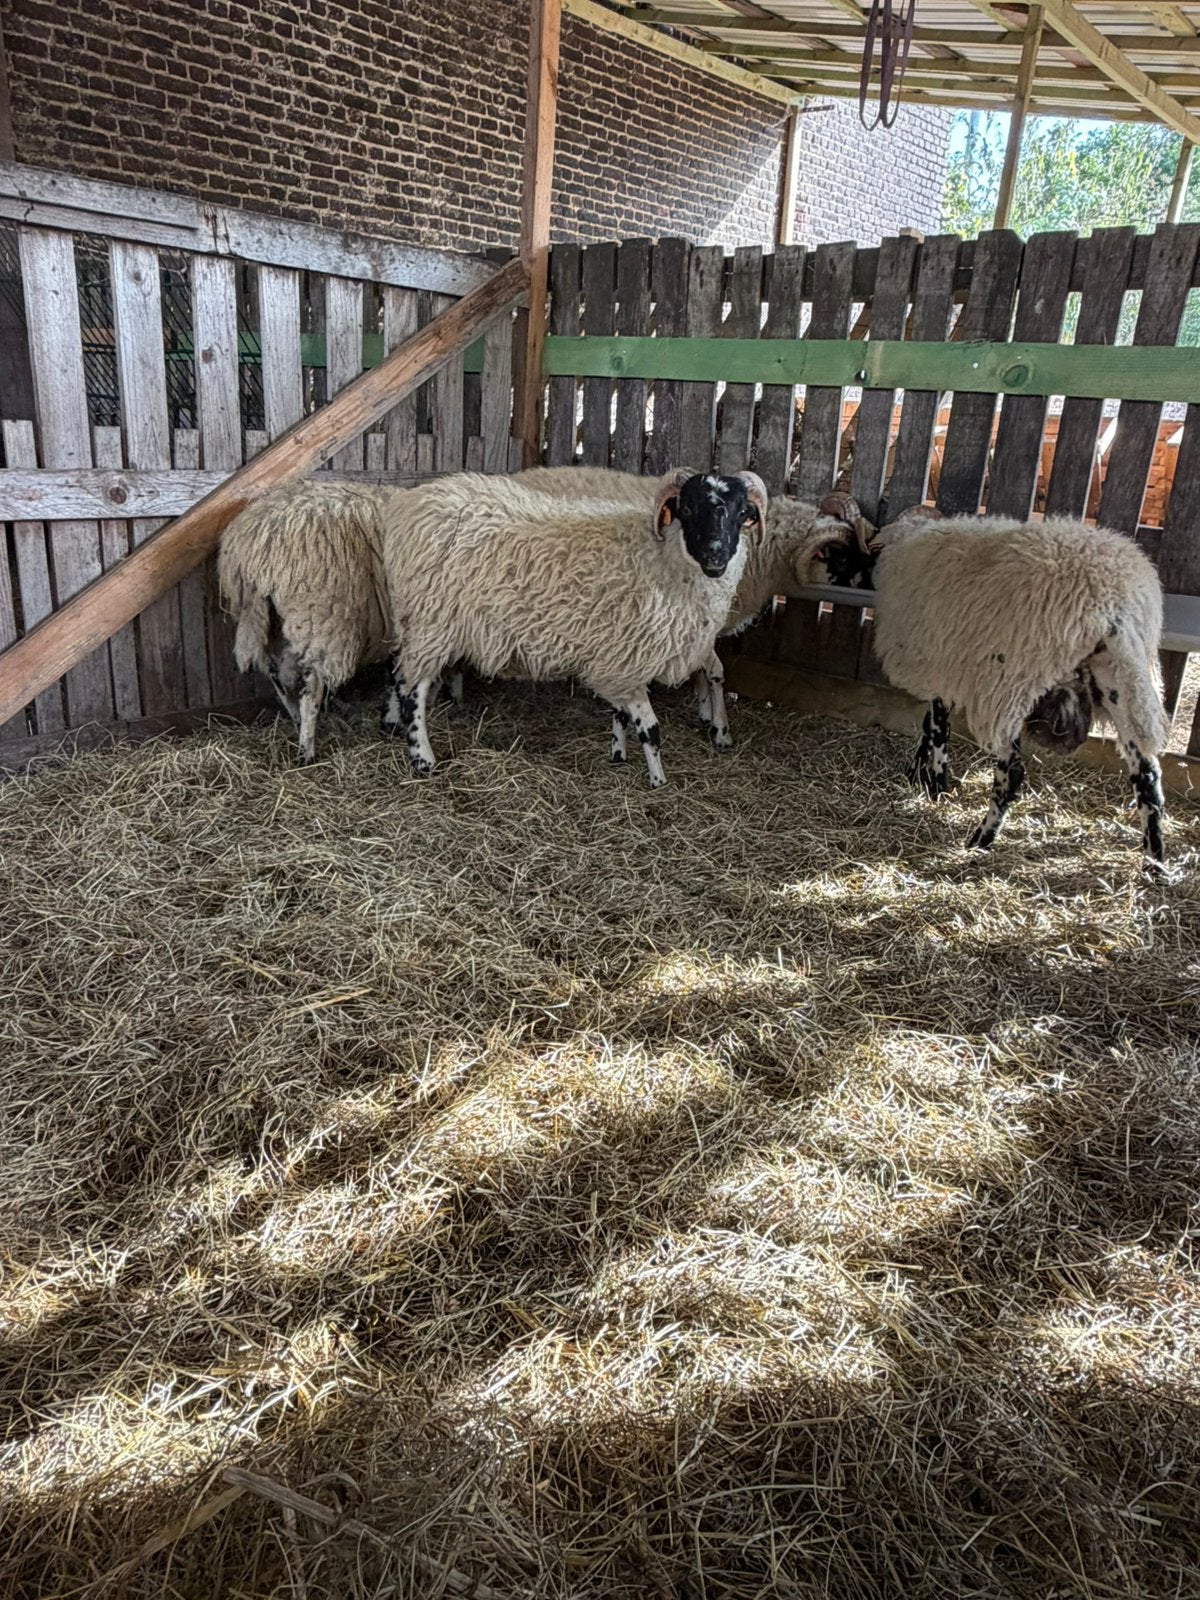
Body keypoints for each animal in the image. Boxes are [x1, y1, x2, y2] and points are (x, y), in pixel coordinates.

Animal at [217, 478, 391, 763]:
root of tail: (259, 548)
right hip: (321, 621)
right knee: (312, 687)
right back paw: (306, 749)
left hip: (270, 623)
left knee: (277, 676)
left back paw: (297, 722)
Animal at [378, 468, 766, 787]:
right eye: (688, 509)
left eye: (741, 513)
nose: (715, 555)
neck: (662, 559)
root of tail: (406, 504)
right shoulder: (628, 660)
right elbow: (650, 729)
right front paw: (658, 781)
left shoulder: (618, 655)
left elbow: (622, 714)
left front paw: (618, 754)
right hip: (432, 621)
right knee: (413, 688)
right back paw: (422, 757)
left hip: (416, 621)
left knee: (398, 672)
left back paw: (392, 723)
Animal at [855, 508, 1170, 861]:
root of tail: (1114, 606)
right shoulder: (947, 669)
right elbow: (928, 725)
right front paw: (917, 771)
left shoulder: (943, 665)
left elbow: (938, 730)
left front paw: (936, 786)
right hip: (1123, 683)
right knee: (1147, 777)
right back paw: (1153, 860)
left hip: (1008, 684)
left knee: (1012, 771)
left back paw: (981, 839)